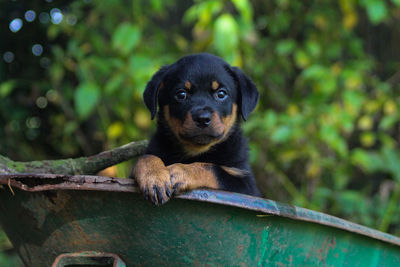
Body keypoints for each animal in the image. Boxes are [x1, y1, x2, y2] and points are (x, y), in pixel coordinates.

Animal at [133, 53, 260, 206]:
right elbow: (145, 157)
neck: (196, 151)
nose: (202, 118)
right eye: (181, 94)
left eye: (221, 94)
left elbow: (212, 168)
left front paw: (181, 170)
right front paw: (154, 177)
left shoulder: (246, 185)